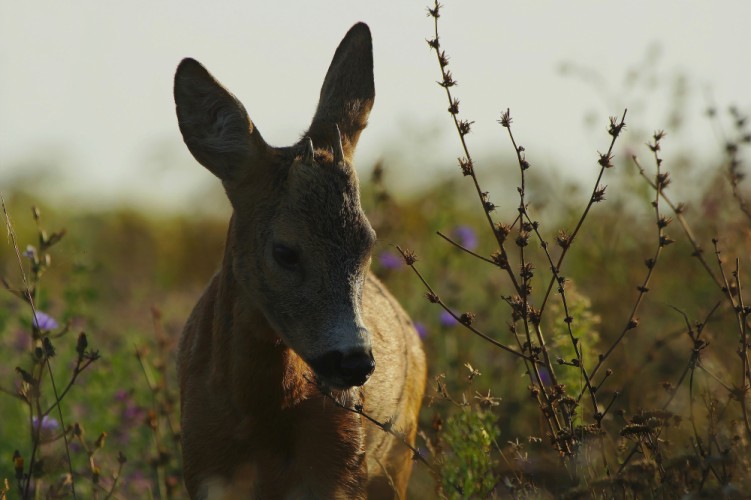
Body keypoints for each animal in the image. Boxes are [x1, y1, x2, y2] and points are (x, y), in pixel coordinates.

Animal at [173, 21, 426, 498]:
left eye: (368, 243)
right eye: (285, 251)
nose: (355, 361)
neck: (263, 419)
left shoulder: (339, 471)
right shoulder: (202, 466)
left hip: (398, 454)